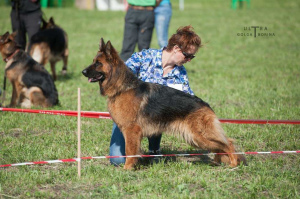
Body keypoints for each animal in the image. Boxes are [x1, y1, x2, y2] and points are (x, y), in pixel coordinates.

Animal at [82, 37, 246, 169]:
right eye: (93, 62)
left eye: (98, 63)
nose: (83, 72)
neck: (122, 87)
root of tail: (206, 106)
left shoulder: (131, 131)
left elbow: (130, 151)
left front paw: (127, 168)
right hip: (196, 138)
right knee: (221, 145)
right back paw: (217, 162)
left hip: (199, 136)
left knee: (228, 143)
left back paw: (233, 163)